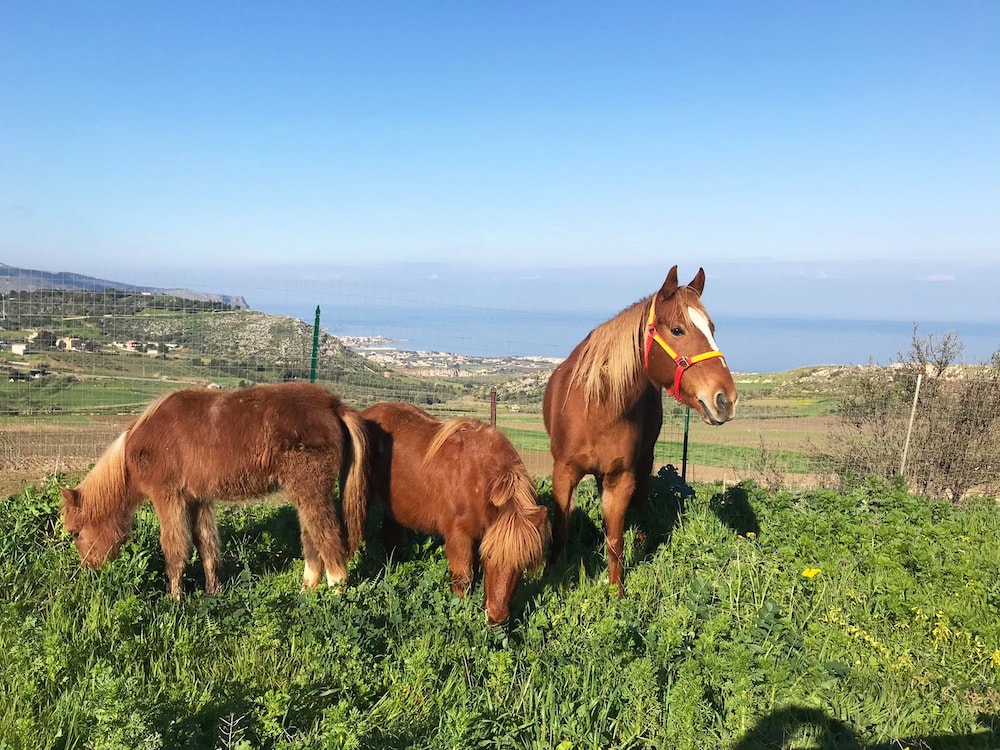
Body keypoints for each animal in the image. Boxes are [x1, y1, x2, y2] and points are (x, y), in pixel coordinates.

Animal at [61, 381, 369, 598]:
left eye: (75, 533)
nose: (90, 572)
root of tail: (334, 406)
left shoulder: (168, 497)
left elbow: (174, 548)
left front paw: (174, 601)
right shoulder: (198, 499)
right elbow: (206, 545)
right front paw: (213, 593)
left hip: (310, 488)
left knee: (327, 538)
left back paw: (335, 595)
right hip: (304, 493)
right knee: (311, 537)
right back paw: (306, 592)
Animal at [361, 402, 550, 625]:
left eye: (522, 565)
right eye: (490, 557)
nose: (496, 617)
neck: (478, 481)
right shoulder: (458, 535)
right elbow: (463, 576)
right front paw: (460, 609)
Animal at [543, 265, 738, 593]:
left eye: (712, 329)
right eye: (677, 330)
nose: (726, 399)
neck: (597, 407)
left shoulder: (621, 477)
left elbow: (616, 540)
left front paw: (616, 592)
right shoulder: (563, 473)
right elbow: (559, 532)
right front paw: (552, 581)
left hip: (643, 461)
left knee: (641, 503)